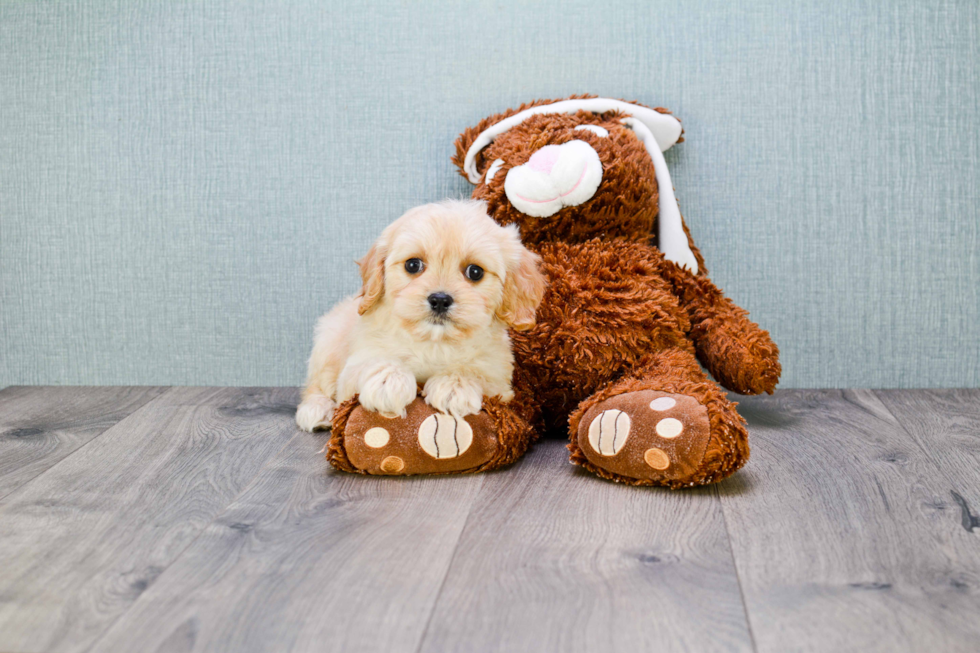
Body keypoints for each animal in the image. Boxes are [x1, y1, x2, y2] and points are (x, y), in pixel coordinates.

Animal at [294, 200, 548, 432]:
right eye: (413, 265)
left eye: (475, 272)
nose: (440, 300)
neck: (434, 342)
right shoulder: (353, 367)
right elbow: (371, 364)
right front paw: (389, 381)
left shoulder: (500, 383)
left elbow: (476, 373)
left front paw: (454, 386)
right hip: (327, 343)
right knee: (316, 385)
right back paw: (317, 410)